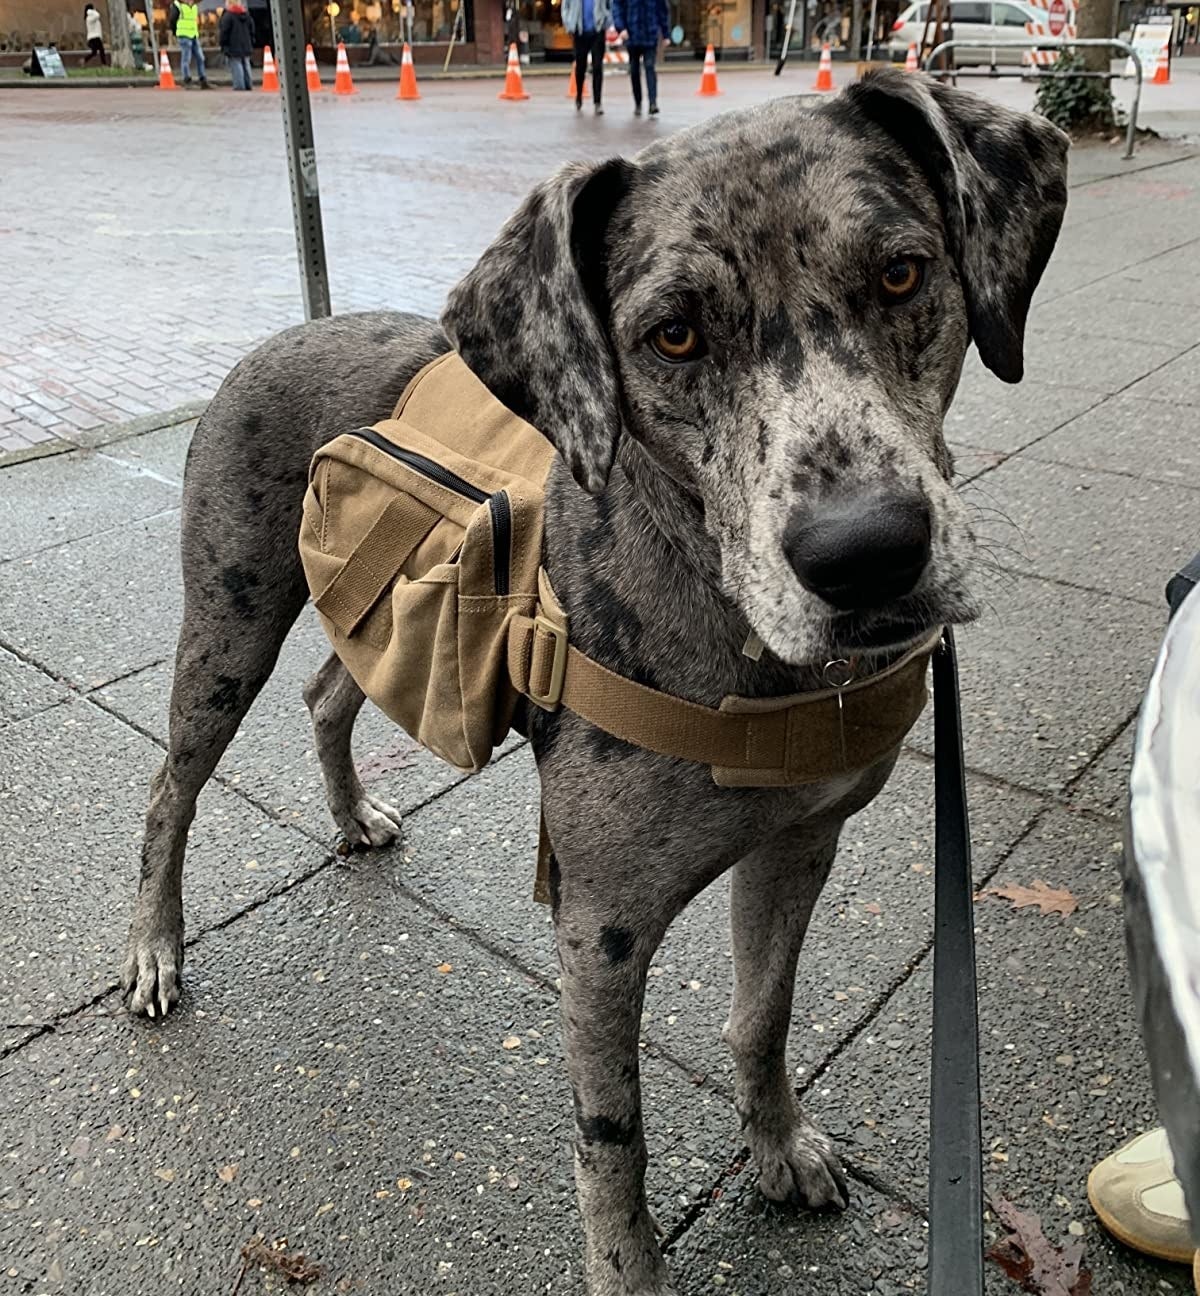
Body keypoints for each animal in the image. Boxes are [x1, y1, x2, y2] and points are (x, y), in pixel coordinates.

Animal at [121, 70, 1073, 1296]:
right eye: (672, 334)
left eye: (904, 273)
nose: (866, 553)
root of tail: (276, 334)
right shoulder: (601, 933)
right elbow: (611, 1139)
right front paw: (629, 1266)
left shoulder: (802, 841)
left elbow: (763, 1017)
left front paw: (779, 1143)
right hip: (230, 622)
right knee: (171, 789)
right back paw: (156, 949)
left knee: (330, 694)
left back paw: (351, 813)